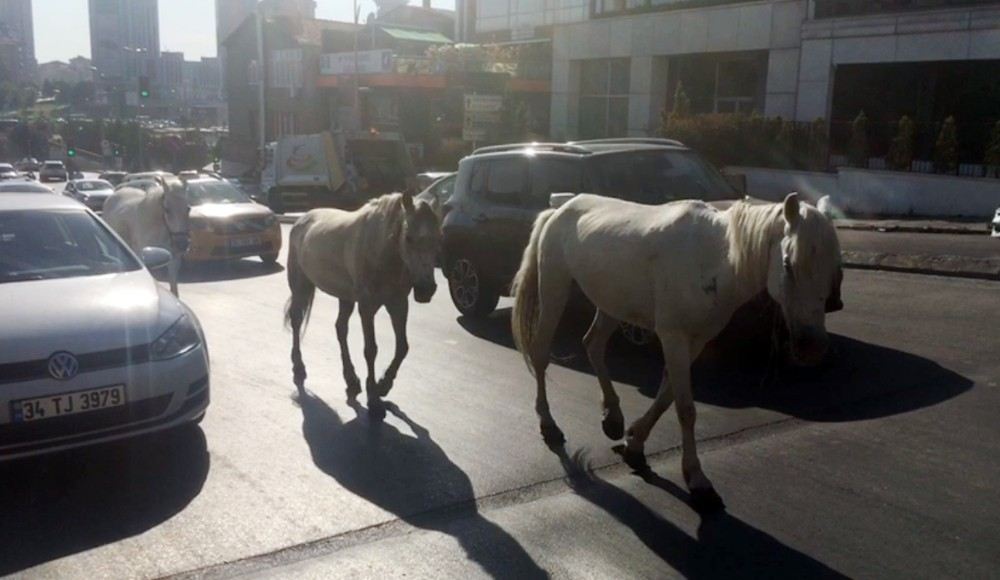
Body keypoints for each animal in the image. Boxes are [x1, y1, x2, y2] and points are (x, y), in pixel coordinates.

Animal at [282, 191, 438, 416]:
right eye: (408, 238)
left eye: (438, 239)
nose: (426, 289)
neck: (381, 252)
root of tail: (301, 220)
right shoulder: (367, 307)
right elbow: (371, 349)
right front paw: (373, 397)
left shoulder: (398, 304)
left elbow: (402, 347)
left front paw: (384, 385)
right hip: (300, 285)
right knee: (296, 321)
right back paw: (299, 368)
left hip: (345, 297)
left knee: (340, 328)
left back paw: (351, 381)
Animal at [512, 193, 840, 510]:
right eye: (788, 264)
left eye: (834, 267)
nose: (812, 347)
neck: (715, 259)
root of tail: (559, 208)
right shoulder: (673, 337)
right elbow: (685, 408)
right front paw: (697, 481)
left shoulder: (696, 341)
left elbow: (667, 394)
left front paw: (634, 443)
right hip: (554, 288)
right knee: (541, 354)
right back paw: (549, 425)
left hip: (612, 304)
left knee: (593, 344)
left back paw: (612, 418)